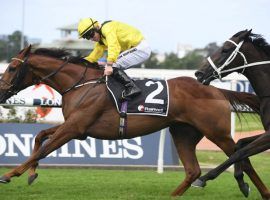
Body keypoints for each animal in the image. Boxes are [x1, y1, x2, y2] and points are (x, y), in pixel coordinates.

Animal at [0, 45, 266, 197]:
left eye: (11, 68)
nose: (1, 92)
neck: (80, 84)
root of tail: (216, 90)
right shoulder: (76, 128)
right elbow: (39, 137)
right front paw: (31, 174)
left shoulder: (74, 127)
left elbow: (42, 149)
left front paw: (10, 174)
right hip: (183, 132)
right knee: (193, 170)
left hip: (217, 132)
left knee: (243, 156)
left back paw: (256, 189)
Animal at [195, 30, 270, 200]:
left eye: (225, 49)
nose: (199, 73)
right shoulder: (268, 132)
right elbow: (239, 145)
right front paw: (241, 182)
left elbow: (241, 152)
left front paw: (203, 178)